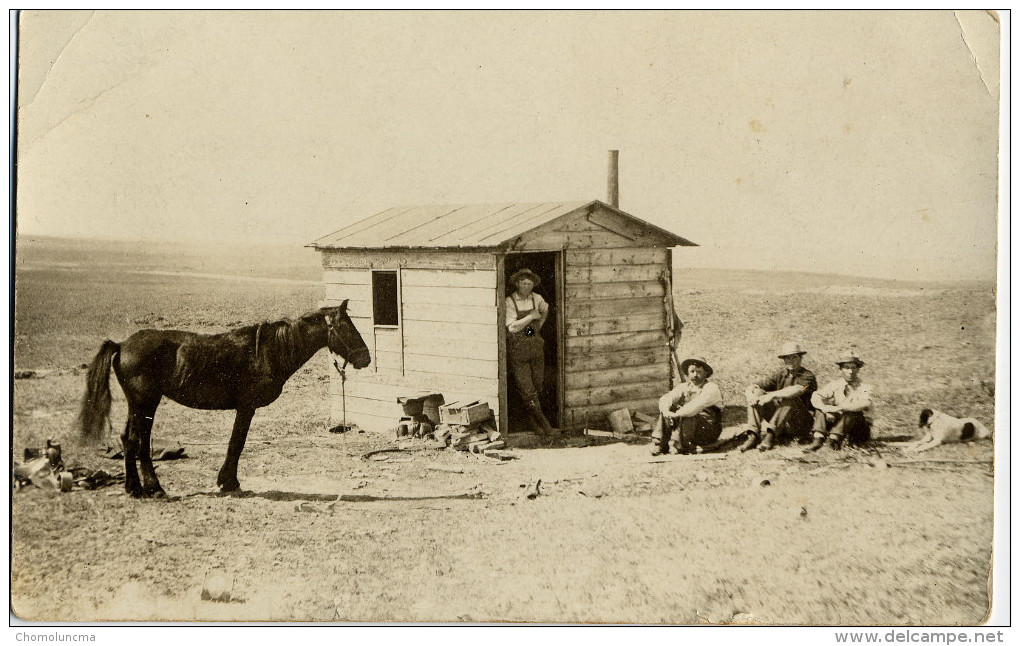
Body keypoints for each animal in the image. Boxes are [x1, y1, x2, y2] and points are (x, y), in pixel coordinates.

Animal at [75, 300, 371, 495]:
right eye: (346, 327)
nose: (365, 358)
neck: (268, 351)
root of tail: (122, 344)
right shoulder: (246, 407)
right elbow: (236, 443)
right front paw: (229, 483)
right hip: (146, 402)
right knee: (138, 441)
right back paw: (151, 489)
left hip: (138, 404)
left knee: (129, 440)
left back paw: (134, 487)